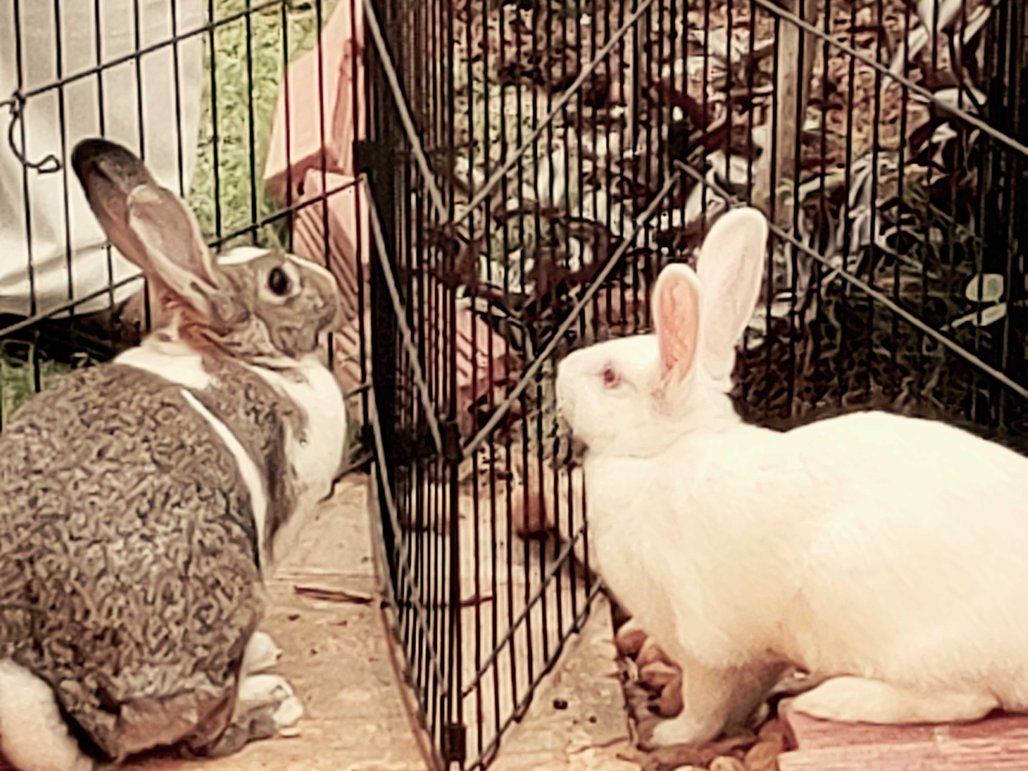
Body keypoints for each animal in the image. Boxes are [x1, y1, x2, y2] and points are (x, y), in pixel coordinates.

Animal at [0, 138, 348, 770]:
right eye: (280, 281)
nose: (333, 289)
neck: (242, 358)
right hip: (231, 594)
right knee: (204, 735)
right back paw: (271, 703)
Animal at [555, 206, 1028, 748]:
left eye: (610, 377)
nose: (559, 372)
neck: (662, 452)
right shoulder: (755, 656)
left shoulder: (701, 642)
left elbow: (705, 704)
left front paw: (669, 735)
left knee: (966, 700)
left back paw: (831, 700)